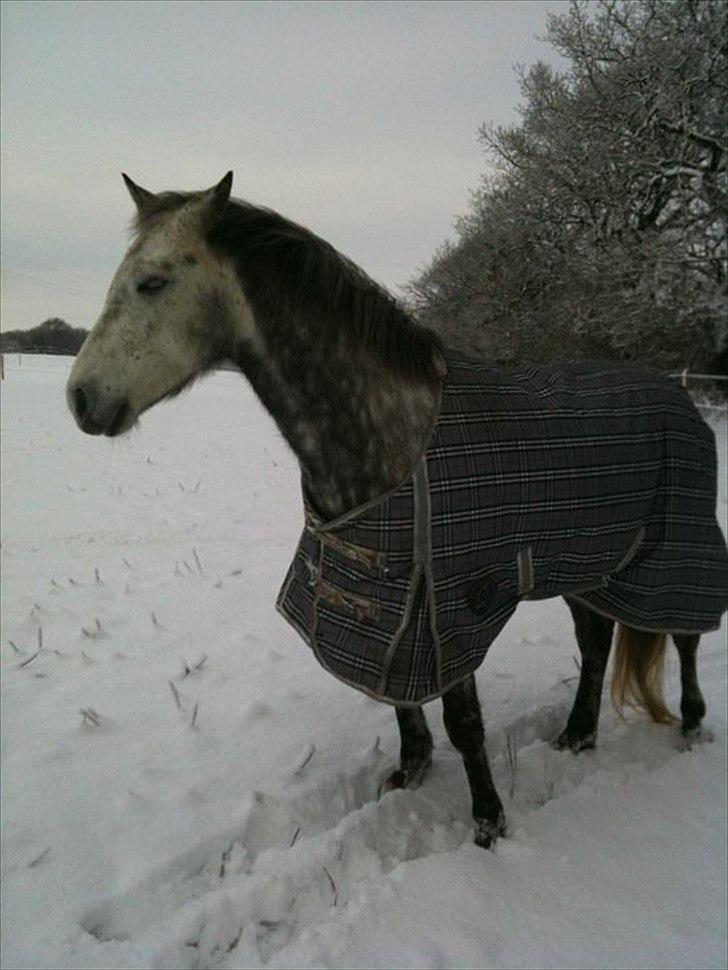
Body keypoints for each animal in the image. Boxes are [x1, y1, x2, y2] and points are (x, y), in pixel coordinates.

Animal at [66, 173, 728, 849]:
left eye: (152, 282)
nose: (80, 399)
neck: (393, 436)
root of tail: (682, 398)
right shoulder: (390, 602)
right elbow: (397, 696)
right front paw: (410, 770)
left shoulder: (452, 607)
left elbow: (465, 723)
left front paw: (488, 824)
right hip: (588, 565)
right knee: (596, 642)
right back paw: (578, 735)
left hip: (676, 554)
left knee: (684, 637)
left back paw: (690, 726)